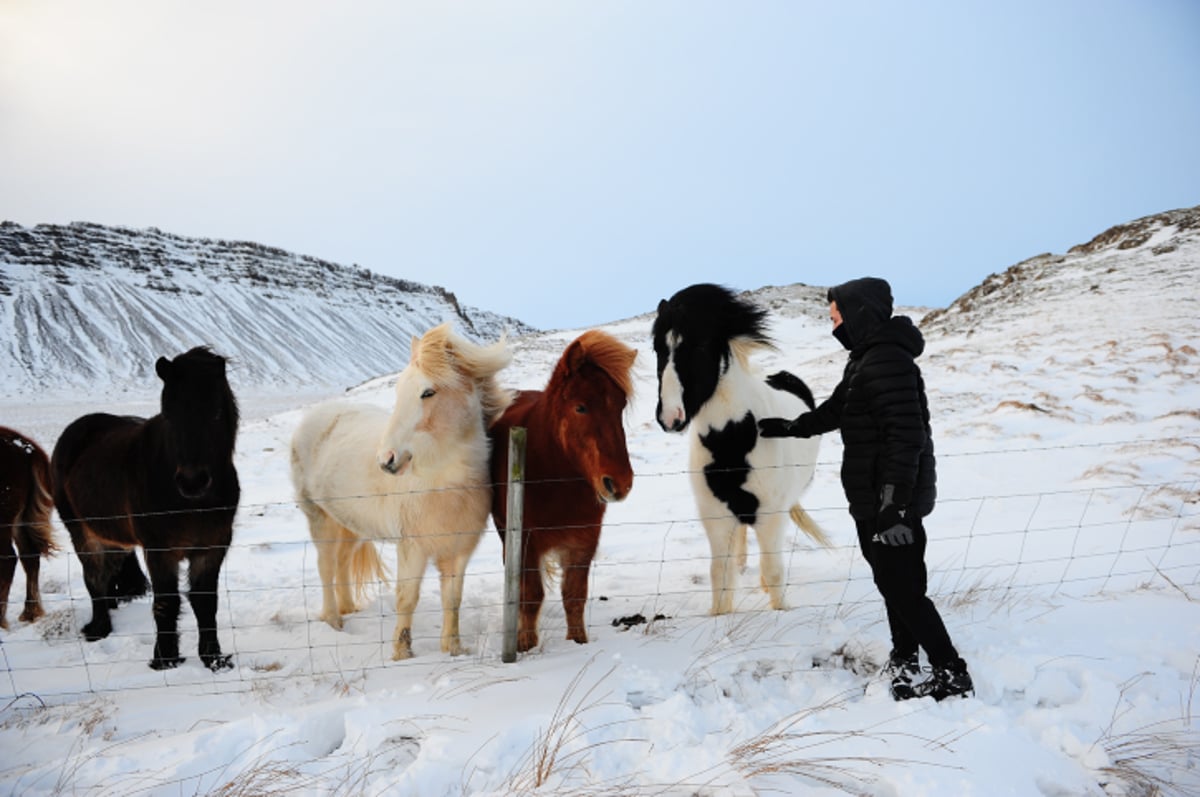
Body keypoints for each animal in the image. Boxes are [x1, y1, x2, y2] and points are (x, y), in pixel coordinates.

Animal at [51, 345, 240, 667]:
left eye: (216, 413)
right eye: (169, 415)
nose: (192, 481)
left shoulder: (212, 548)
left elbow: (205, 601)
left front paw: (213, 659)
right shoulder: (160, 551)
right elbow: (166, 603)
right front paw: (165, 660)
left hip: (114, 537)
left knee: (109, 574)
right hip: (83, 534)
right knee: (94, 579)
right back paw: (99, 629)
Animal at [295, 321, 516, 657]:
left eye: (428, 392)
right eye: (399, 391)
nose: (386, 460)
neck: (442, 486)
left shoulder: (458, 551)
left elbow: (452, 599)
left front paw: (453, 649)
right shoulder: (411, 547)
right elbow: (407, 598)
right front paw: (402, 654)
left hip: (351, 524)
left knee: (342, 563)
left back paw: (349, 610)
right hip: (320, 519)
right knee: (326, 567)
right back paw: (333, 621)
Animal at [487, 328, 638, 652]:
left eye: (620, 407)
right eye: (580, 407)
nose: (620, 483)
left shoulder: (584, 541)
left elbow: (574, 596)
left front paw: (578, 642)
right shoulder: (526, 540)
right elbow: (531, 596)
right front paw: (526, 645)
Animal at [652, 283, 830, 612]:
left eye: (700, 346)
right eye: (659, 349)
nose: (670, 417)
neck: (734, 440)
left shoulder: (771, 516)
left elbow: (773, 571)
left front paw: (780, 609)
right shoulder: (715, 517)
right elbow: (720, 576)